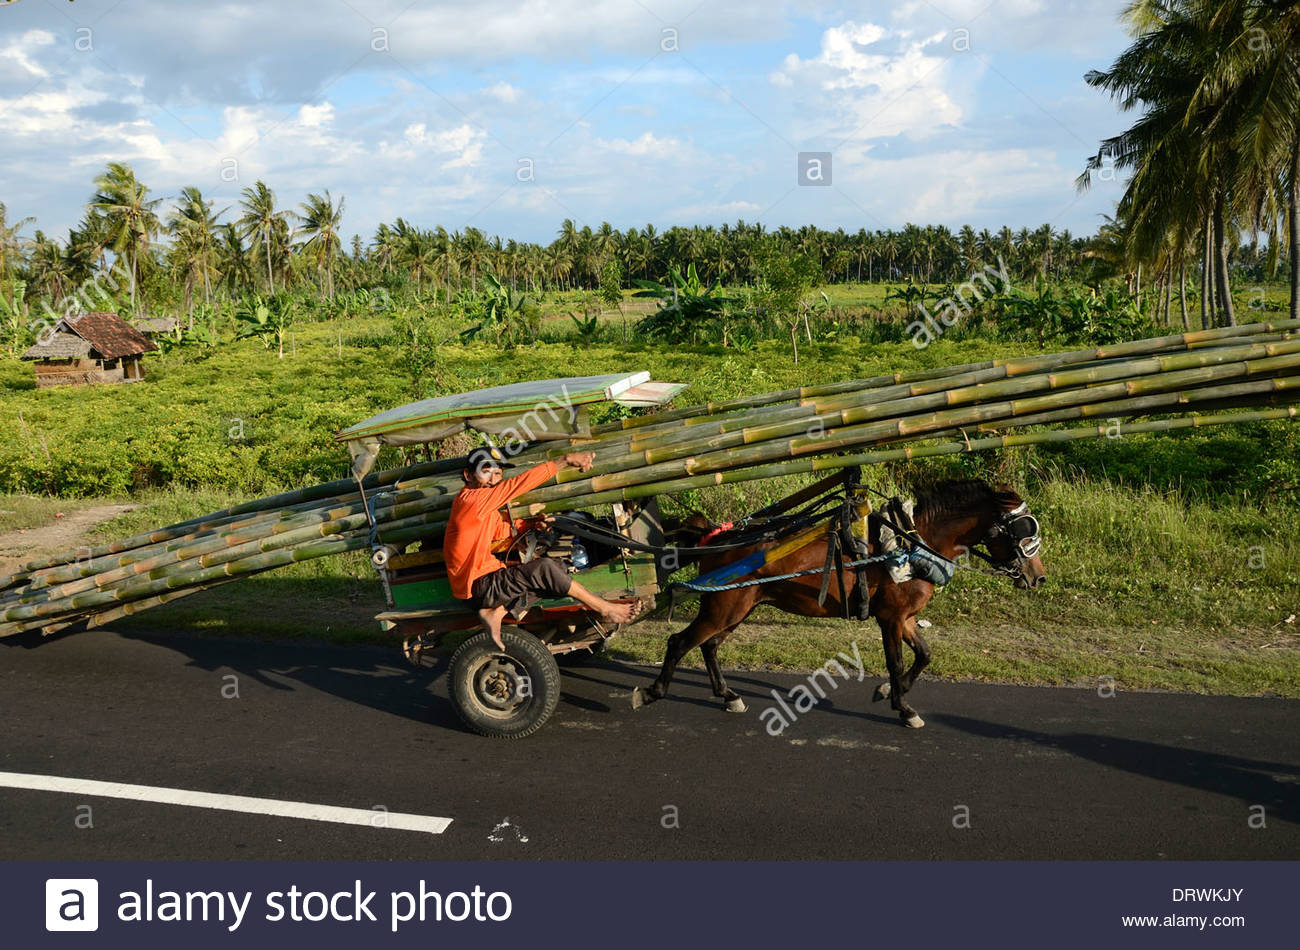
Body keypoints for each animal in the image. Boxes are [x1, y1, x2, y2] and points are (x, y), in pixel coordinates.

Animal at [629, 483, 1045, 727]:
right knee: (681, 642)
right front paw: (903, 707)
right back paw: (652, 692)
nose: (1038, 577)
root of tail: (715, 536)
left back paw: (728, 695)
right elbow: (896, 662)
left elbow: (924, 655)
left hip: (739, 608)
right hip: (723, 607)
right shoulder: (890, 618)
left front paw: (889, 692)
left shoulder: (905, 617)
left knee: (709, 645)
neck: (912, 542)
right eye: (1025, 531)